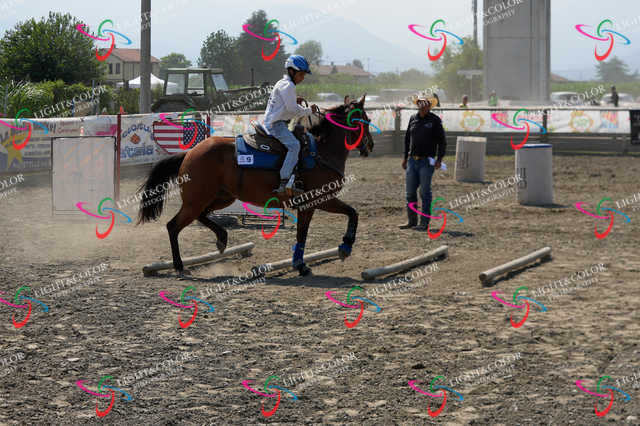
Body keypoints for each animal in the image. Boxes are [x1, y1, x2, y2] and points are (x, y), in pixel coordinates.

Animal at [137, 94, 374, 276]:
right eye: (364, 120)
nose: (370, 145)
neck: (321, 152)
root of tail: (189, 153)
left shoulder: (308, 205)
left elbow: (303, 234)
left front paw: (301, 264)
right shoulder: (319, 199)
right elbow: (352, 213)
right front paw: (344, 247)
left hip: (221, 197)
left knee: (201, 216)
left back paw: (222, 239)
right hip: (196, 200)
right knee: (173, 226)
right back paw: (179, 266)